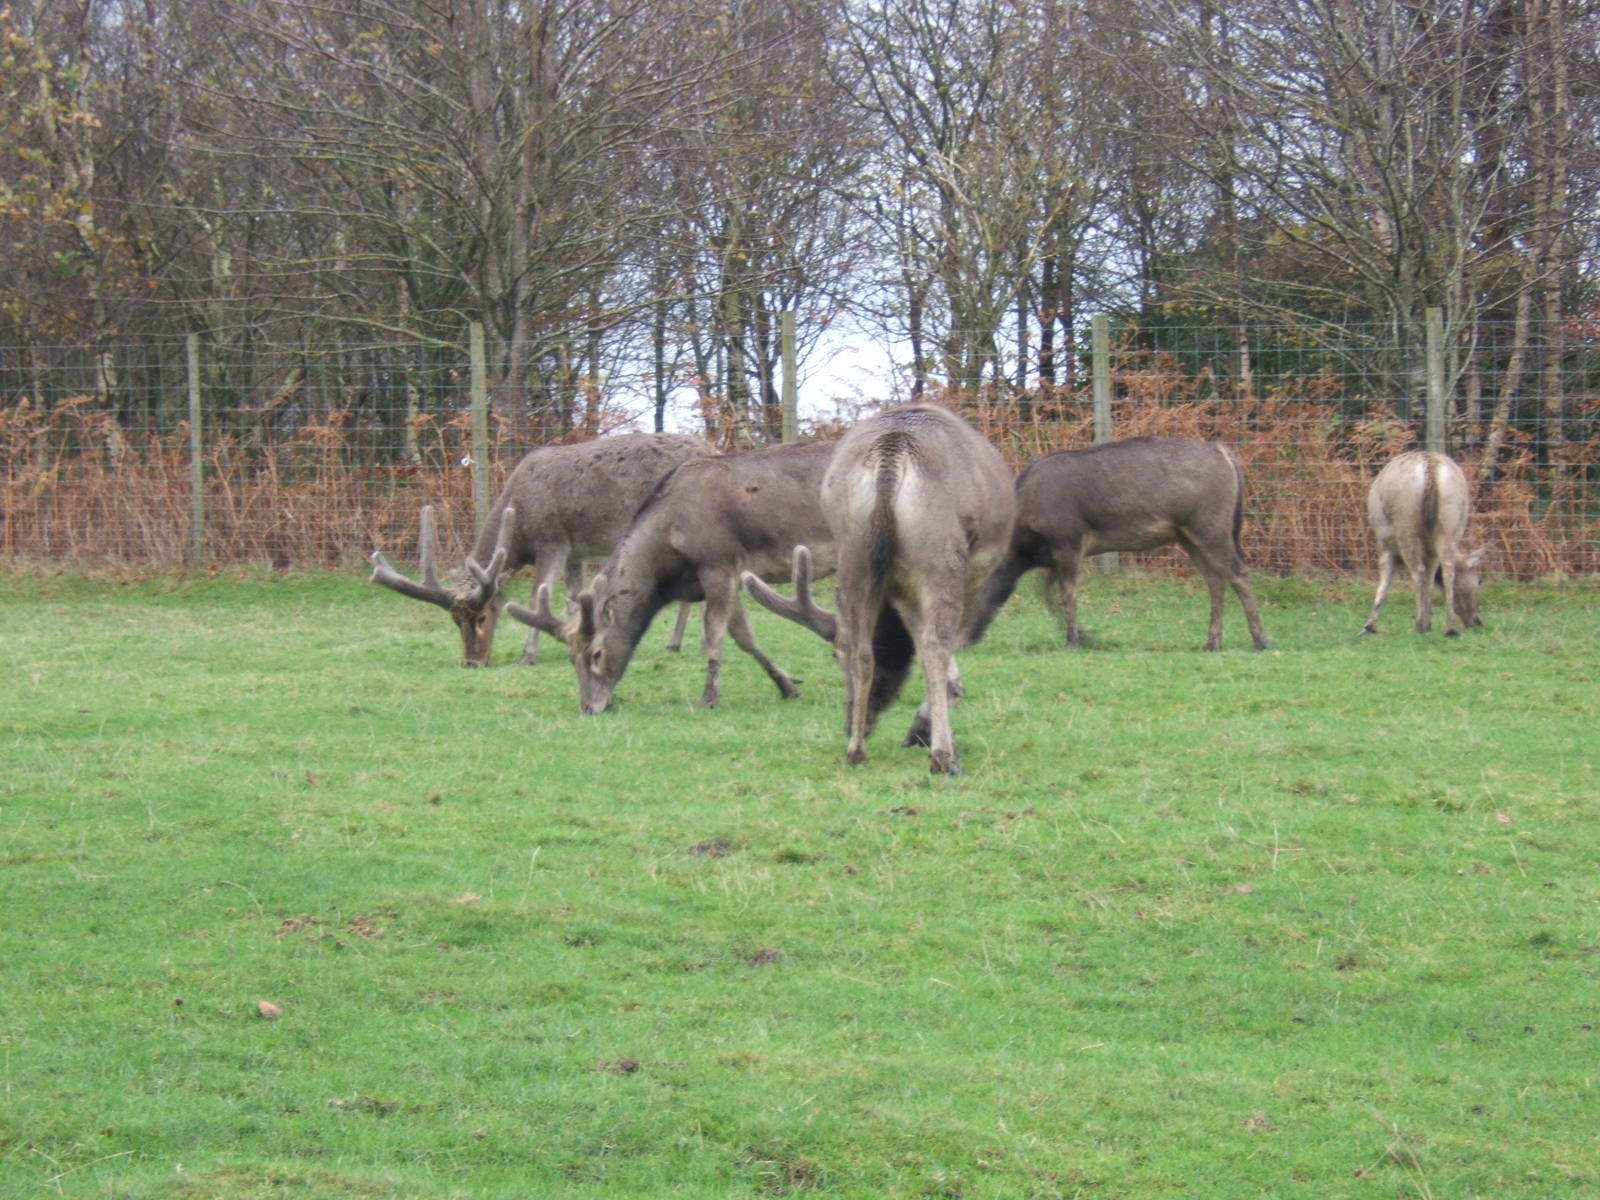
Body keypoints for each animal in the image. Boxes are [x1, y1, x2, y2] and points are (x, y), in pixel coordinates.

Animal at [368, 432, 711, 667]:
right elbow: (573, 597)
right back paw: (677, 643)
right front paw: (573, 641)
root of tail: (713, 449)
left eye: (482, 617)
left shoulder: (552, 541)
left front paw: (528, 654)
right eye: (454, 620)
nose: (472, 662)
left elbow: (538, 596)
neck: (520, 525)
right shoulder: (575, 551)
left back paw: (688, 643)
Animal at [506, 439, 838, 713]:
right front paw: (787, 684)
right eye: (571, 658)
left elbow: (715, 632)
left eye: (597, 654)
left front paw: (709, 696)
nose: (588, 706)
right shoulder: (730, 576)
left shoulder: (718, 564)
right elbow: (744, 636)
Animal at [741, 403, 1015, 776]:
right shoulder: (975, 575)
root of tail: (891, 457)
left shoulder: (898, 592)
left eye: (834, 656)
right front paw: (928, 730)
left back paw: (856, 750)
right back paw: (943, 758)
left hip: (852, 550)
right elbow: (945, 656)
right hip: (939, 550)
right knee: (935, 645)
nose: (851, 723)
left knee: (862, 646)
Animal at [966, 436, 1270, 652]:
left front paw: (1073, 639)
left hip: (1210, 526)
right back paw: (1212, 642)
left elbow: (1067, 593)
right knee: (1215, 580)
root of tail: (1224, 452)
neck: (1022, 545)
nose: (965, 640)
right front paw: (1085, 635)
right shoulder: (1053, 556)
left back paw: (1260, 640)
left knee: (1238, 573)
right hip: (1188, 536)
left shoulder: (1068, 540)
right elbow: (1048, 594)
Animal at [1361, 449, 1484, 636]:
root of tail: (1431, 468)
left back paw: (1419, 625)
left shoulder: (1385, 543)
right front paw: (1430, 623)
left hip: (1405, 523)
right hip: (1450, 523)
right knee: (1447, 571)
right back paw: (1450, 628)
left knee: (1417, 571)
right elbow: (1430, 582)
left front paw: (1369, 626)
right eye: (1478, 581)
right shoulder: (1431, 553)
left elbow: (1384, 585)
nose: (1477, 621)